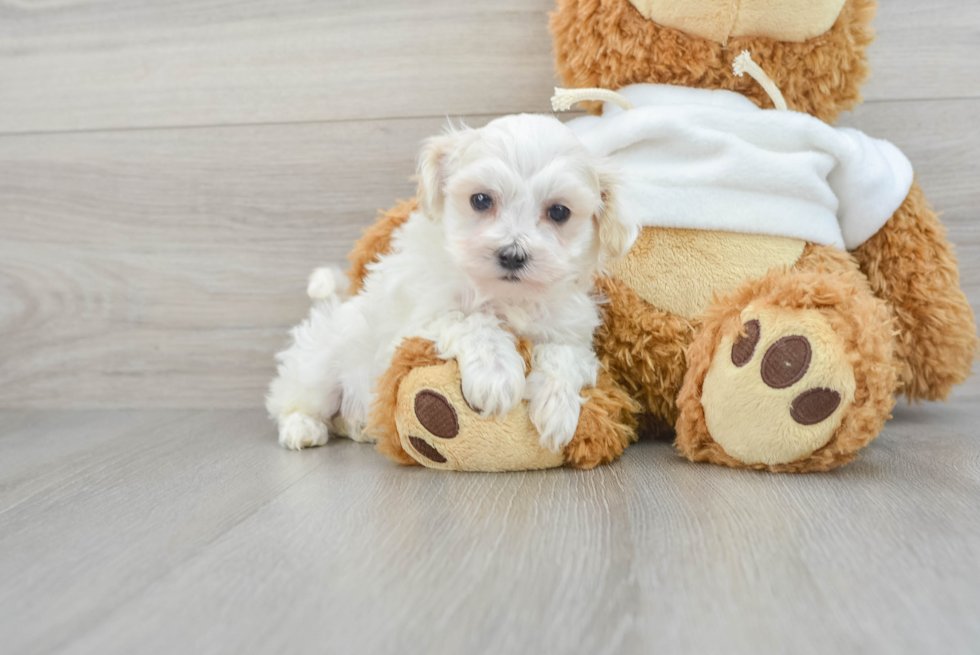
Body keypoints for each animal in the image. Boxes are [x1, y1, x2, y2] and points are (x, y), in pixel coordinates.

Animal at [266, 114, 636, 452]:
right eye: (481, 200)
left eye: (559, 212)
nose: (512, 255)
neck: (506, 295)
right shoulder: (417, 321)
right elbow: (473, 320)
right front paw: (496, 375)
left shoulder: (571, 332)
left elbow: (565, 354)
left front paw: (557, 407)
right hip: (319, 365)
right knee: (295, 400)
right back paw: (303, 428)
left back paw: (360, 426)